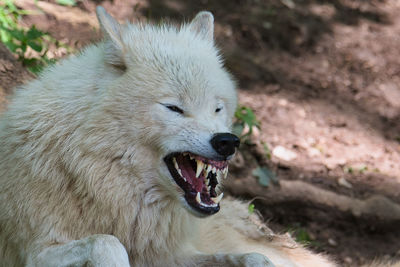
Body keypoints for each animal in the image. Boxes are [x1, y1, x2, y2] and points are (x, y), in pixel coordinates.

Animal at [0, 7, 336, 266]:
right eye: (174, 108)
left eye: (216, 108)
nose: (227, 142)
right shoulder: (34, 251)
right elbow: (107, 243)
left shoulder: (170, 255)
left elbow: (252, 258)